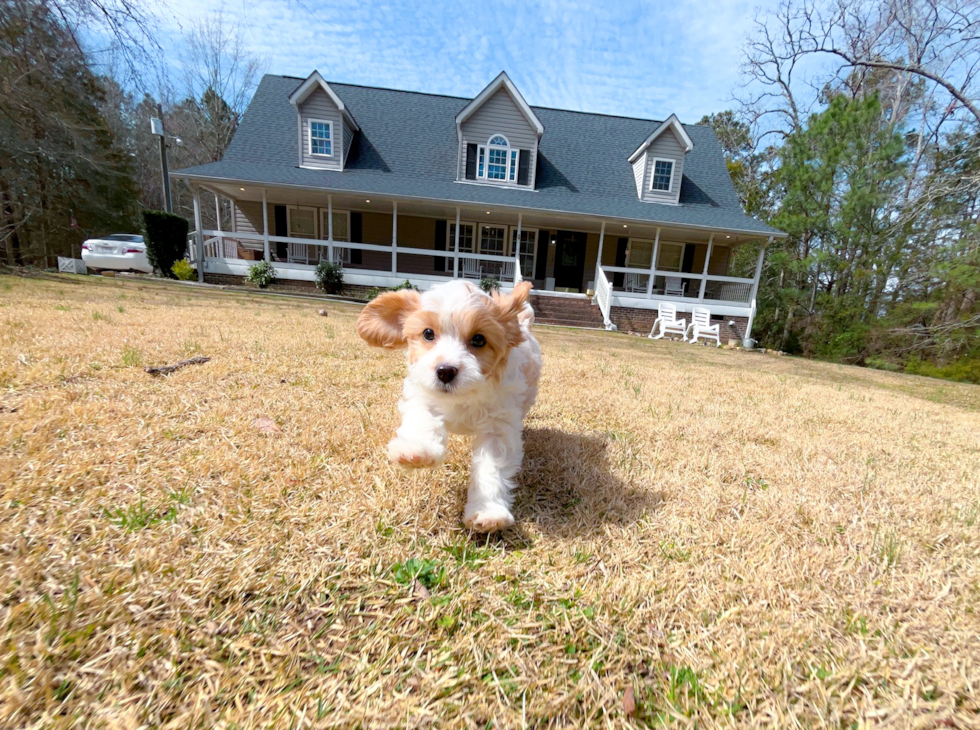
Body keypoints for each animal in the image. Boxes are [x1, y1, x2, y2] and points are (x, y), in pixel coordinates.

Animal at [358, 278, 544, 528]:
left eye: (479, 339)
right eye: (428, 333)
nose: (445, 371)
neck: (463, 396)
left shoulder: (499, 426)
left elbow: (491, 466)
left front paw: (487, 512)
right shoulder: (421, 394)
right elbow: (423, 419)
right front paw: (415, 450)